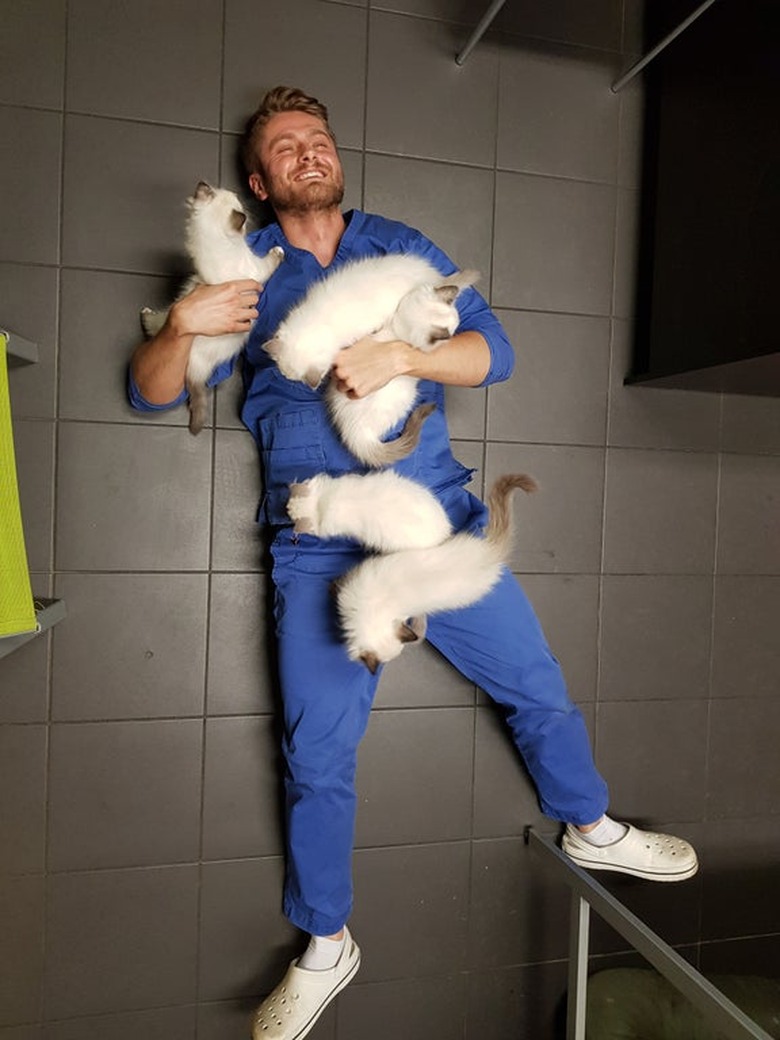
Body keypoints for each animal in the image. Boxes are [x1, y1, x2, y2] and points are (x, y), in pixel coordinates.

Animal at [140, 180, 284, 432]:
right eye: (239, 202)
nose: (241, 196)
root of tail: (193, 368)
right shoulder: (257, 269)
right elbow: (271, 260)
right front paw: (279, 250)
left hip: (165, 317)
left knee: (152, 326)